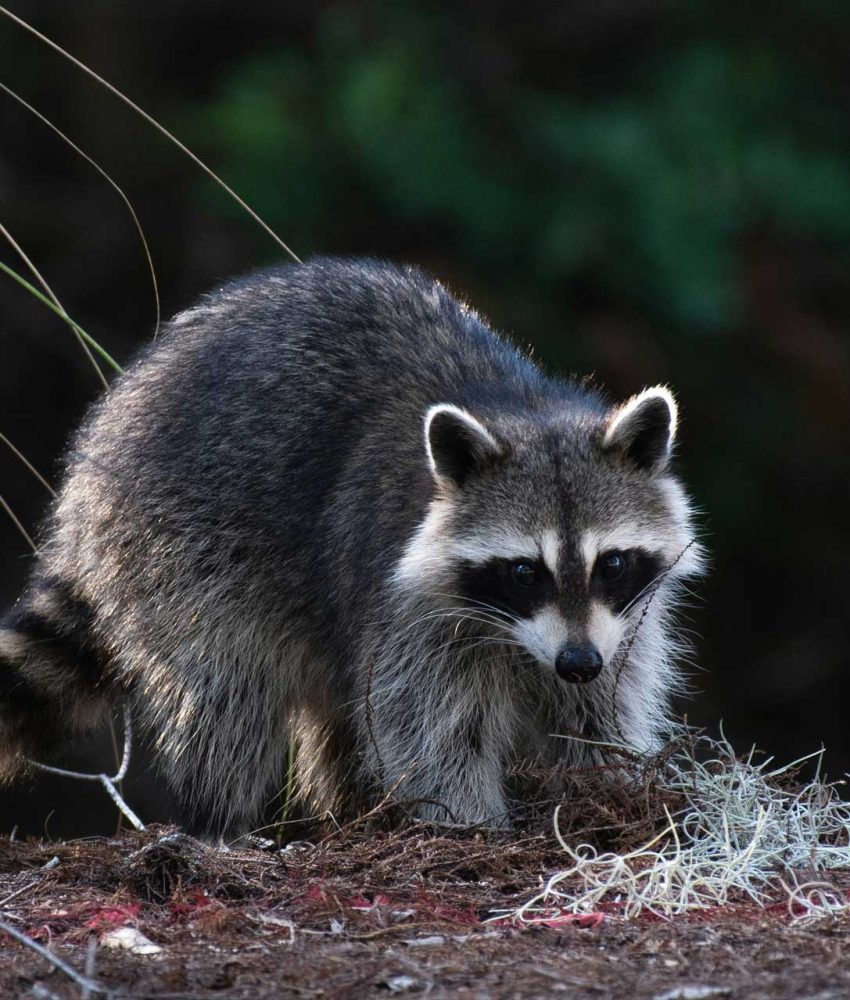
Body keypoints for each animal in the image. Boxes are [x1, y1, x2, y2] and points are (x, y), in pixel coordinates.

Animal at [0, 257, 703, 835]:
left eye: (612, 563)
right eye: (525, 572)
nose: (578, 662)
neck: (525, 411)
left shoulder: (621, 621)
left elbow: (600, 705)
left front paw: (609, 784)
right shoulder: (403, 598)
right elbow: (428, 722)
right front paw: (468, 821)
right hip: (180, 544)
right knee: (229, 689)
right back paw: (219, 819)